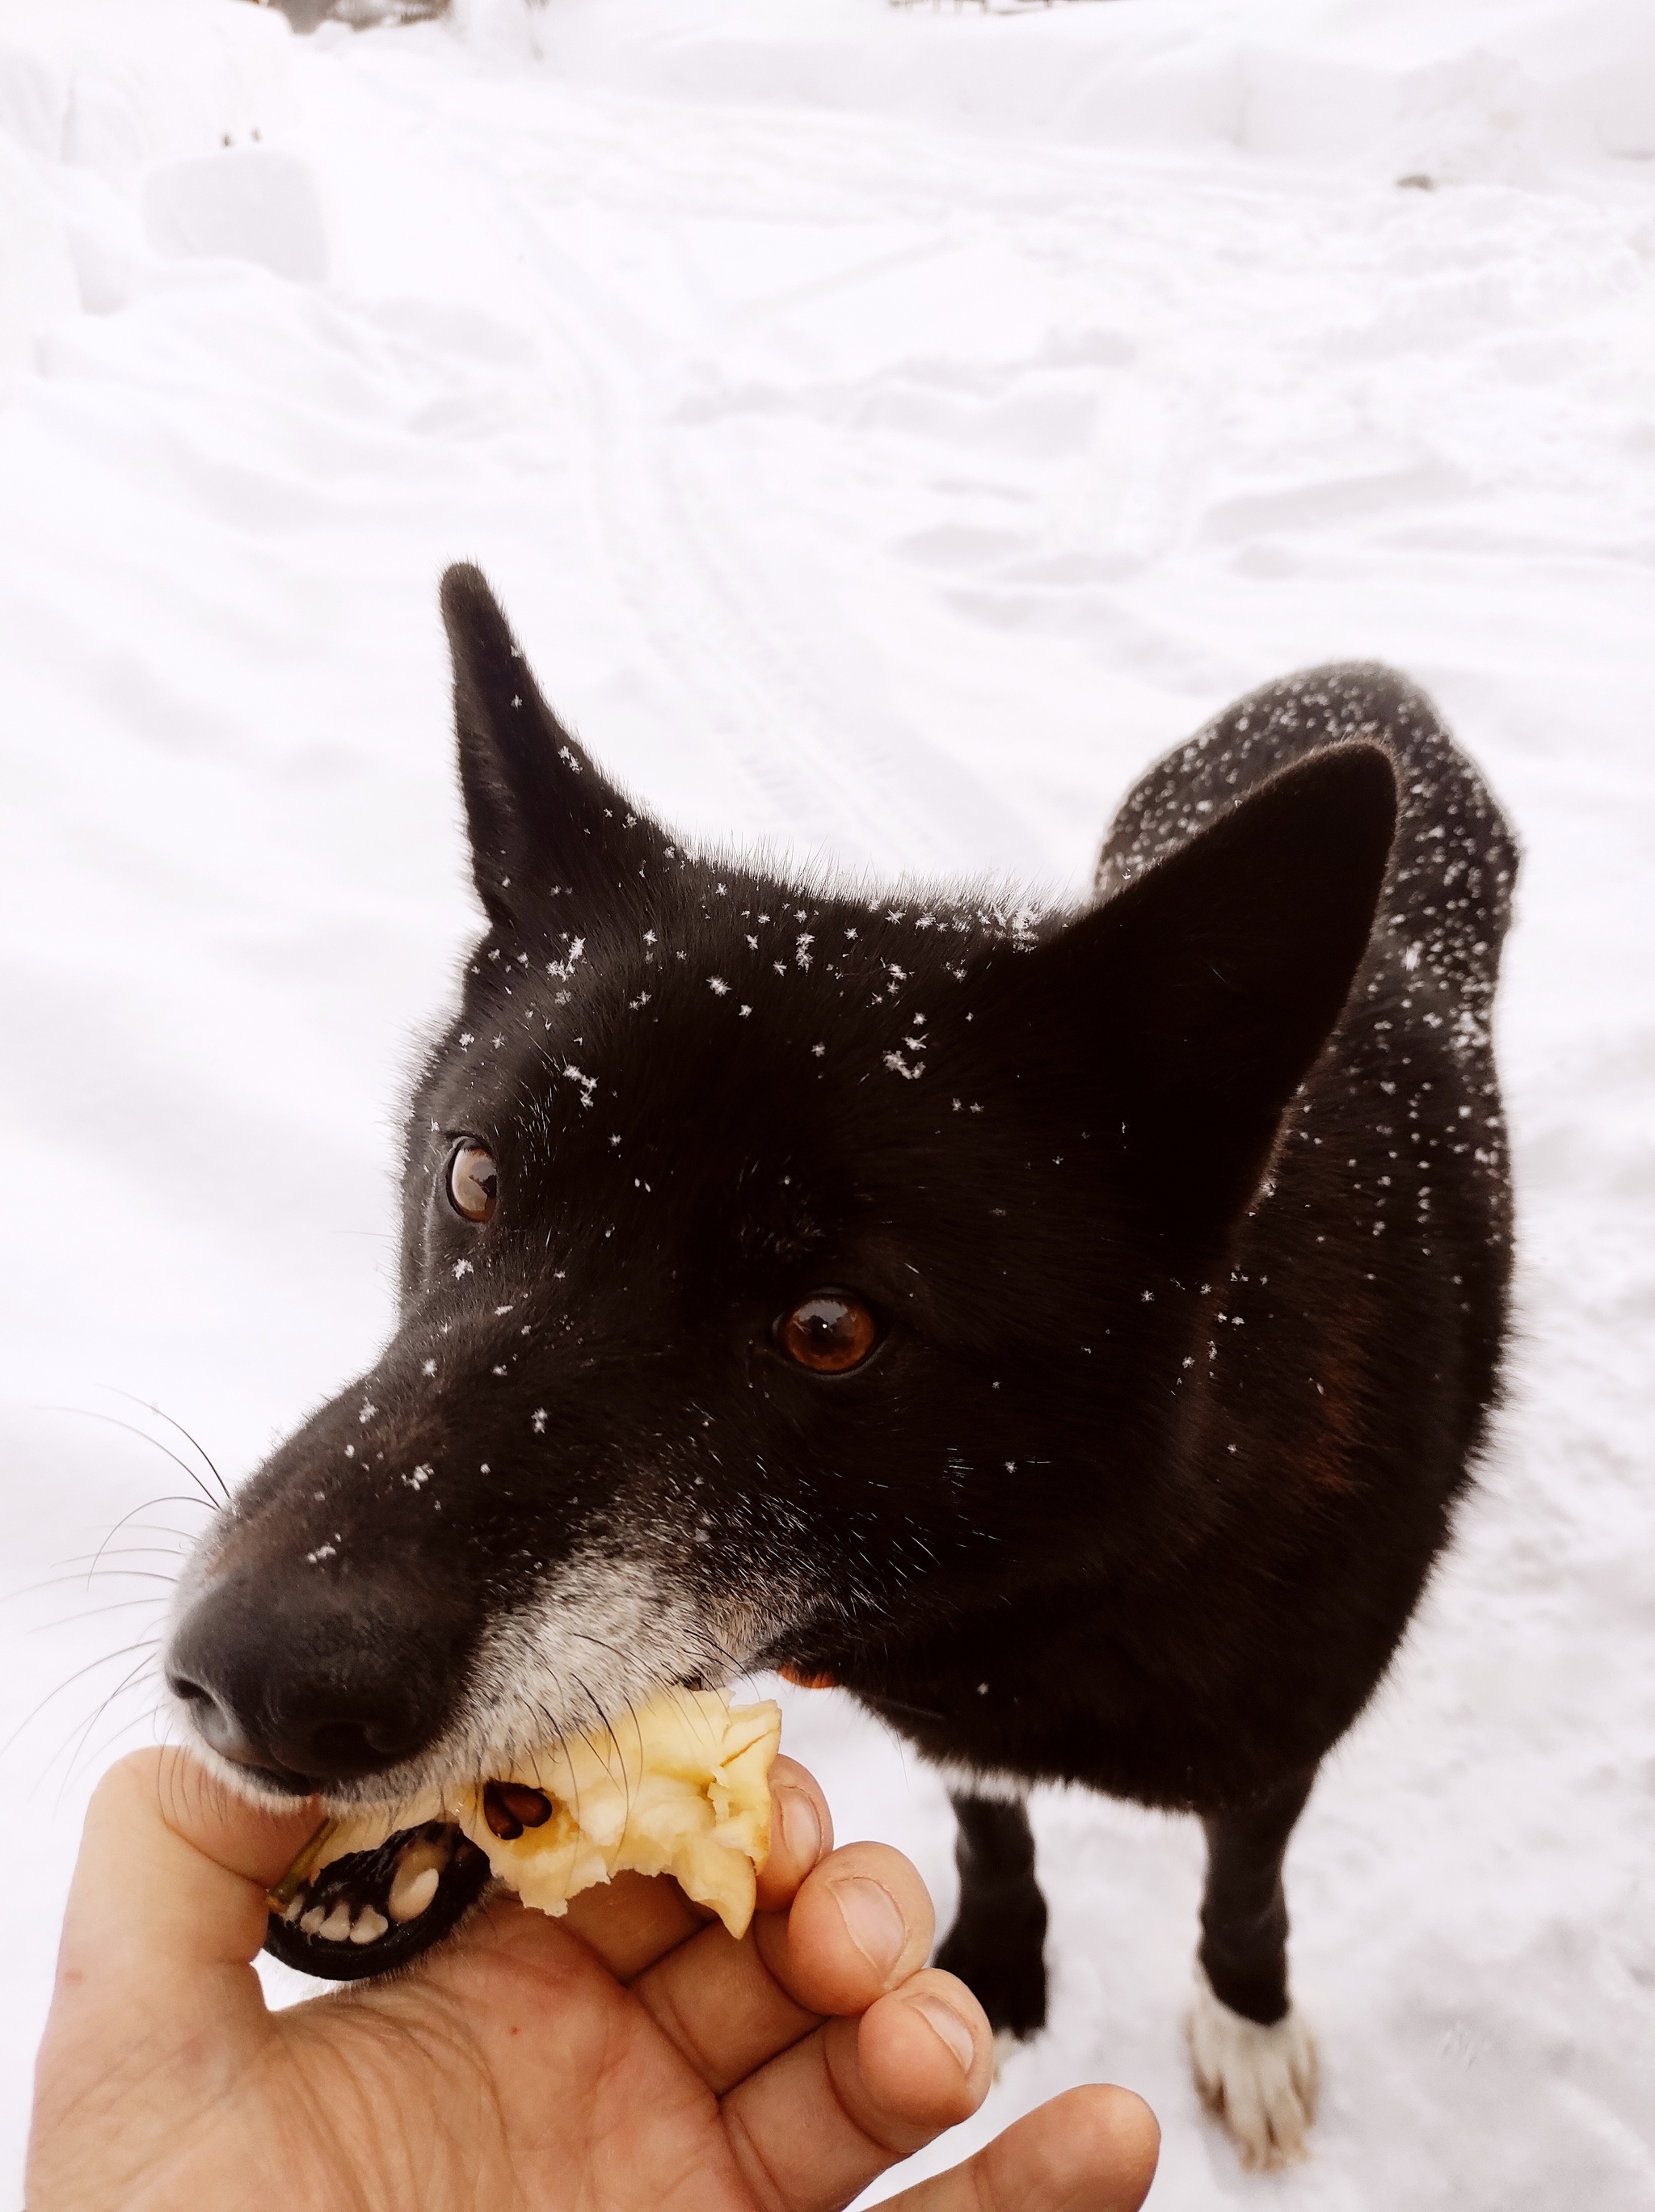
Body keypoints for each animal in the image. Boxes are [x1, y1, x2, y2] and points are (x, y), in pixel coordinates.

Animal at [164, 566, 1513, 2159]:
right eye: (476, 1177)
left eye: (829, 1328)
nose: (246, 1682)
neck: (1064, 1575)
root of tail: (1360, 675)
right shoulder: (954, 1726)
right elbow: (988, 1823)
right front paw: (994, 1964)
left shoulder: (1269, 1751)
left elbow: (1241, 1886)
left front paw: (1245, 2021)